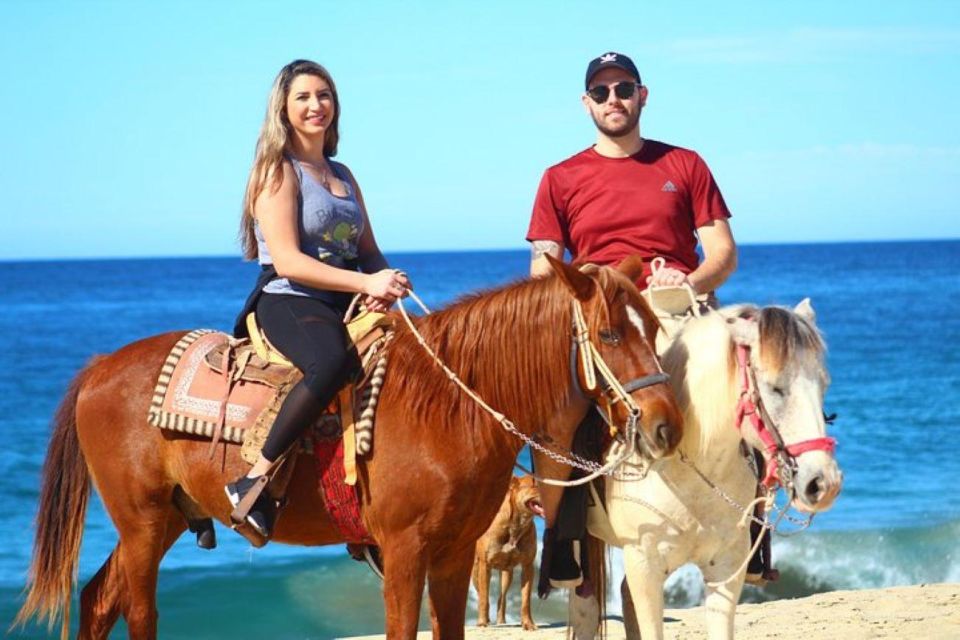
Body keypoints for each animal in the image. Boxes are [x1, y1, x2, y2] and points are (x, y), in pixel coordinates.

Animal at [470, 476, 540, 632]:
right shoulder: (484, 565)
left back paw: (501, 620)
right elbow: (484, 597)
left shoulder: (528, 566)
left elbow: (525, 599)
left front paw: (528, 623)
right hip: (476, 571)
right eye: (536, 486)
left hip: (507, 573)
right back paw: (485, 619)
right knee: (482, 594)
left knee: (502, 598)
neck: (516, 524)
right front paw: (482, 622)